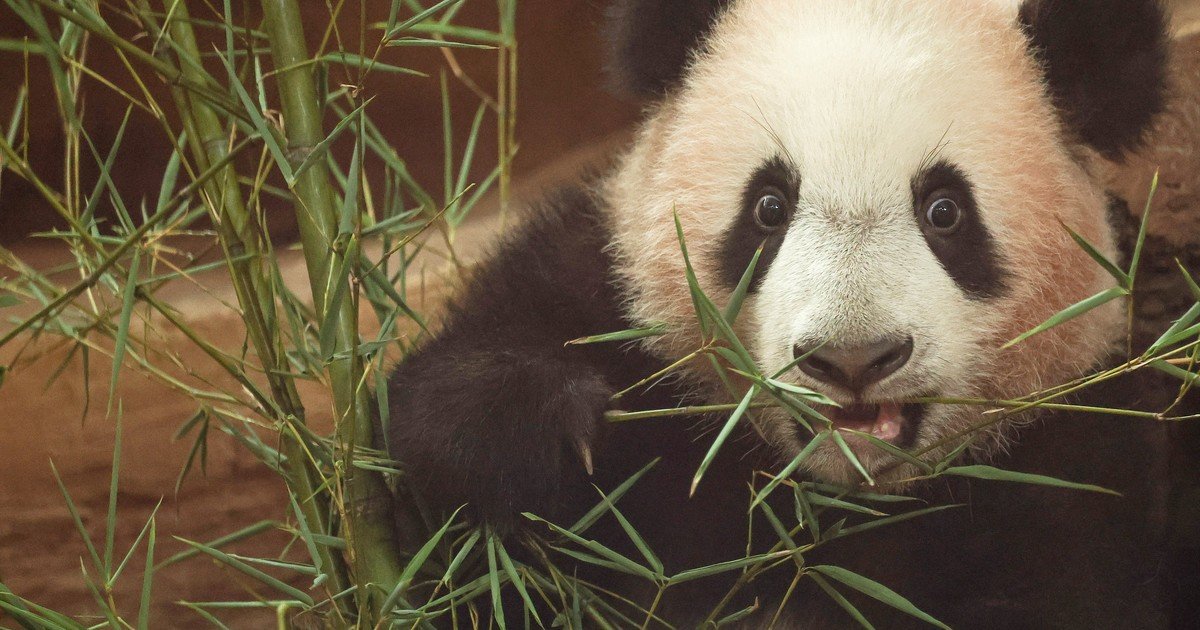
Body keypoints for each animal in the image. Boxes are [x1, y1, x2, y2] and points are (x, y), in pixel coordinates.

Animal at [385, 0, 1183, 626]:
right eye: (769, 205)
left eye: (945, 211)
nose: (852, 358)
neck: (831, 500)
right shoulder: (610, 296)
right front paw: (530, 437)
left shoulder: (1081, 462)